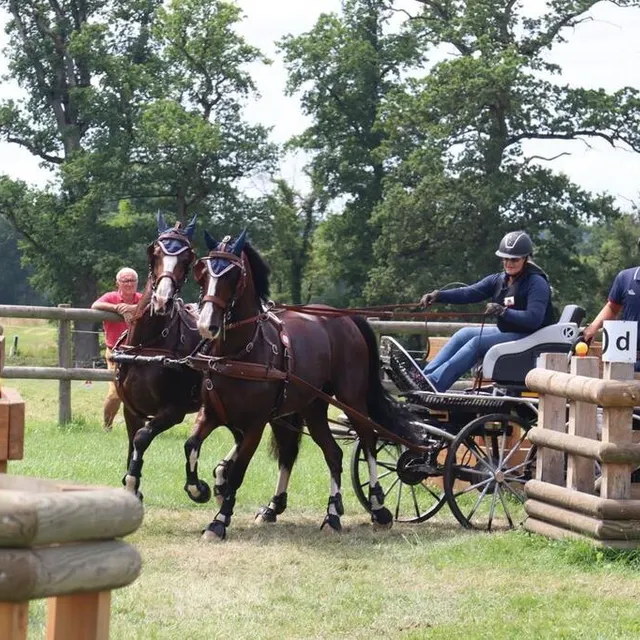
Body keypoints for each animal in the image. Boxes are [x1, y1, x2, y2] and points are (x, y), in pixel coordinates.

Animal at [113, 212, 203, 499]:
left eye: (187, 258)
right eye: (155, 252)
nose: (162, 300)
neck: (148, 347)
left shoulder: (173, 411)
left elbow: (141, 438)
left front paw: (132, 482)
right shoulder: (132, 408)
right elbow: (131, 442)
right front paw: (130, 483)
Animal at [185, 229, 425, 541]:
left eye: (233, 275)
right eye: (202, 273)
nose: (207, 325)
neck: (236, 354)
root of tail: (344, 317)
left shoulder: (255, 425)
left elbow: (238, 471)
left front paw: (219, 521)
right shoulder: (212, 413)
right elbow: (192, 446)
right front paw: (199, 488)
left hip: (351, 399)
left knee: (369, 441)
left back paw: (377, 507)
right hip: (312, 407)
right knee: (332, 453)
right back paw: (332, 514)